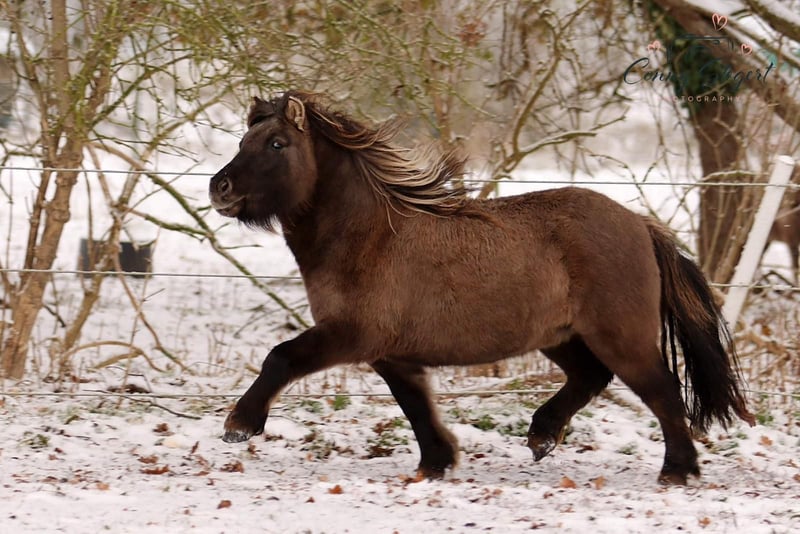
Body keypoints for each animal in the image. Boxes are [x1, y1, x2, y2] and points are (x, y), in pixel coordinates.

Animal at [209, 91, 755, 485]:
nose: (220, 188)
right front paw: (438, 462)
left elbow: (280, 357)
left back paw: (678, 471)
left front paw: (240, 425)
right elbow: (415, 403)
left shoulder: (351, 335)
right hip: (561, 336)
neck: (369, 236)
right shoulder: (391, 353)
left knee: (662, 391)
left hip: (622, 337)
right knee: (590, 377)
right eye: (242, 142)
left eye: (276, 144)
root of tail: (640, 224)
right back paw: (542, 436)